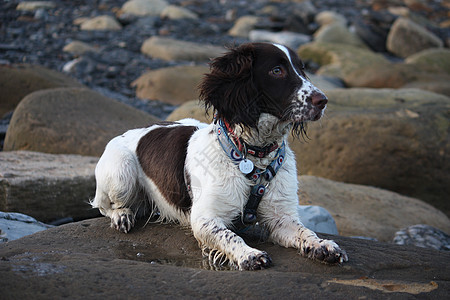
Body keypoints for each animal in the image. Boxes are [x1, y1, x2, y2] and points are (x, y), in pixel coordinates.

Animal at [92, 41, 348, 270]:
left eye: (302, 69)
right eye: (277, 70)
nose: (322, 100)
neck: (253, 157)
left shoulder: (281, 217)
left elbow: (305, 231)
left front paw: (323, 245)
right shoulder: (205, 218)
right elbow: (230, 236)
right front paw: (249, 254)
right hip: (121, 173)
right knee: (105, 206)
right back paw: (122, 215)